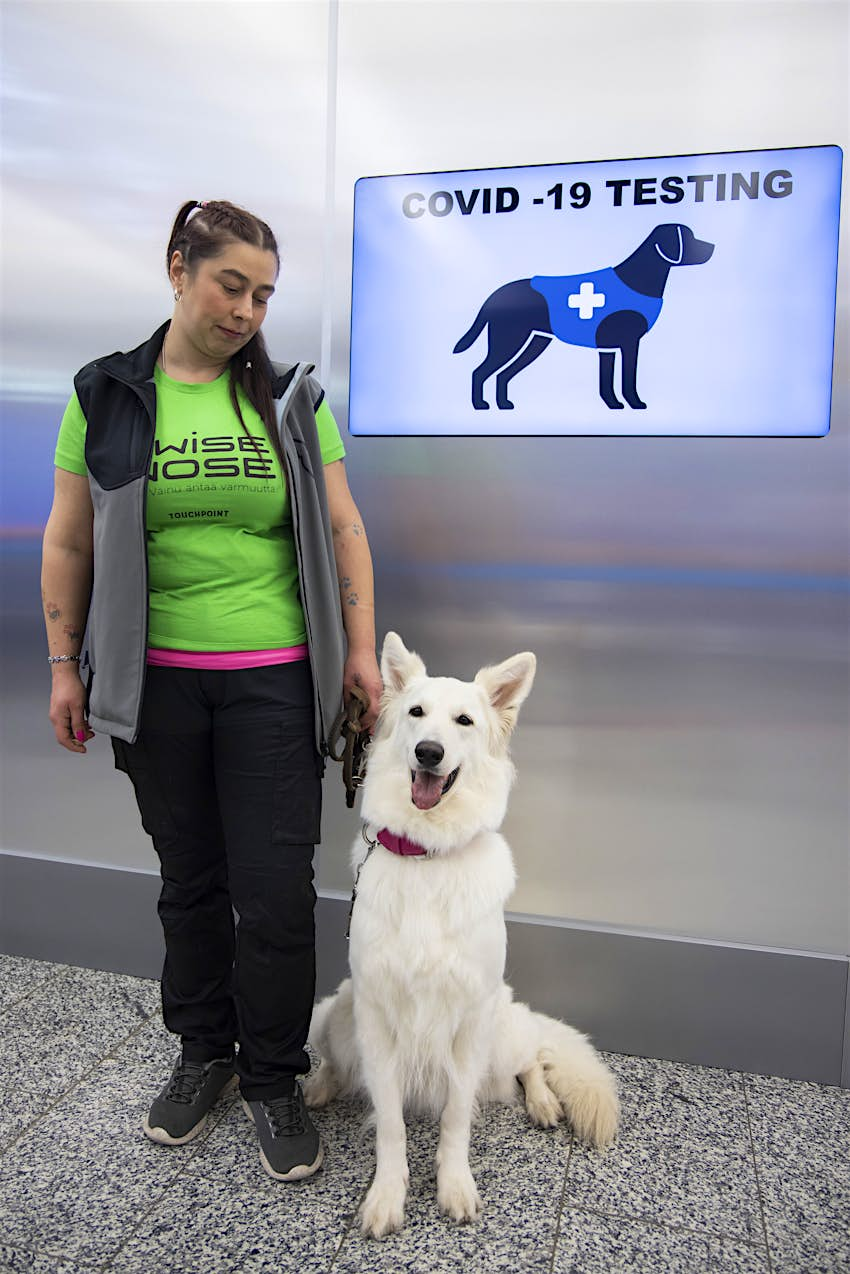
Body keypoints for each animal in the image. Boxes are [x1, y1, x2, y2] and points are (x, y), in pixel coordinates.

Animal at [305, 631, 619, 1238]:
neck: (428, 855)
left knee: (532, 1058)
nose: (429, 752)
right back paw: (320, 1086)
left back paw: (543, 1102)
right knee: (335, 1061)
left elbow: (455, 1118)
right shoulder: (377, 1018)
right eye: (416, 713)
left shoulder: (470, 1020)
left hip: (501, 1027)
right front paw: (387, 1195)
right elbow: (391, 1125)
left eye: (465, 721)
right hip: (331, 1012)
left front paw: (454, 1185)